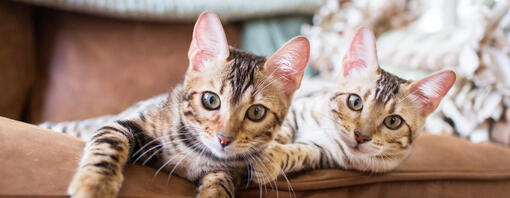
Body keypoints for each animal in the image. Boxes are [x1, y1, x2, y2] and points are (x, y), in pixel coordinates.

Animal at [38, 11, 310, 197]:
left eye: (256, 112)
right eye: (211, 100)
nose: (224, 139)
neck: (199, 153)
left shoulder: (225, 171)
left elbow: (221, 184)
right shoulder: (124, 124)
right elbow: (108, 143)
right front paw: (95, 184)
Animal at [249, 27, 456, 184]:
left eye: (393, 121)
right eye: (355, 102)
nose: (361, 136)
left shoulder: (320, 153)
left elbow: (298, 152)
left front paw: (269, 160)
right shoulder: (296, 108)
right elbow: (283, 128)